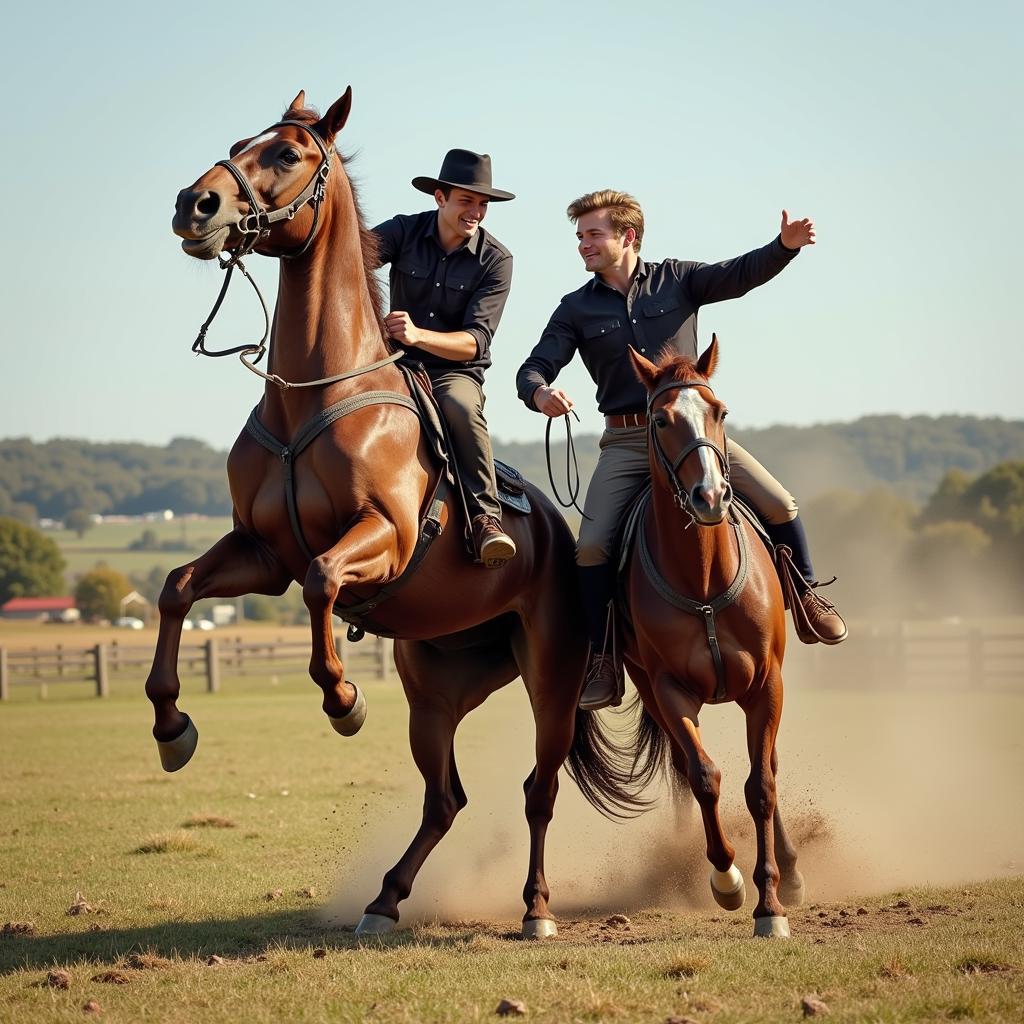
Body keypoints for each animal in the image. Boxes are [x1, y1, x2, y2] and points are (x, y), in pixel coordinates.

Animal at [157, 86, 638, 937]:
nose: (195, 204)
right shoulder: (259, 553)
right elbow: (178, 587)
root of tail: (562, 535)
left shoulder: (377, 538)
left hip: (551, 677)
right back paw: (384, 899)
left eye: (288, 153)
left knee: (539, 792)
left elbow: (322, 583)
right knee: (446, 798)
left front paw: (343, 699)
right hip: (437, 689)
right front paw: (171, 728)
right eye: (239, 142)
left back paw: (536, 908)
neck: (312, 398)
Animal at [618, 337, 802, 937]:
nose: (710, 496)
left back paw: (792, 869)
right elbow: (704, 776)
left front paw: (772, 904)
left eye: (719, 411)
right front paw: (728, 880)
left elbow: (760, 785)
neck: (703, 579)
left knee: (769, 768)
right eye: (659, 418)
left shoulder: (767, 686)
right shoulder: (671, 692)